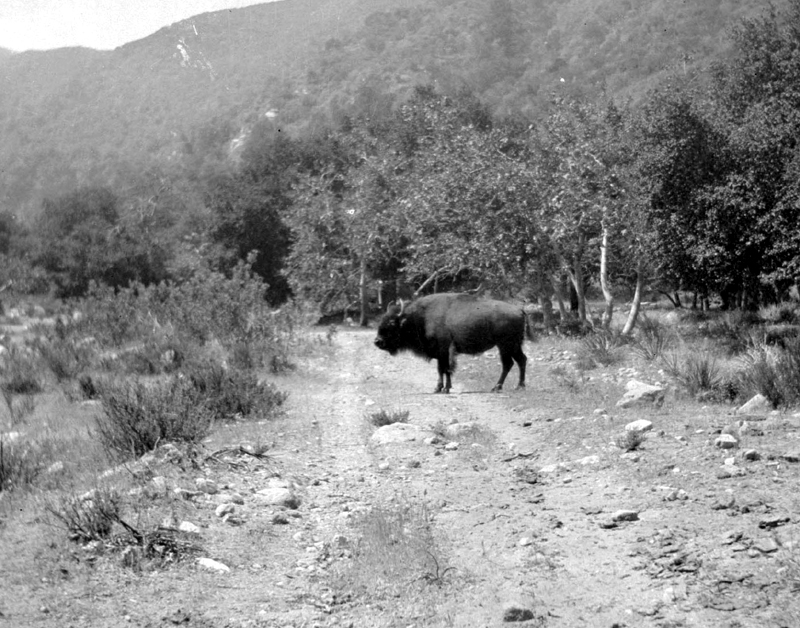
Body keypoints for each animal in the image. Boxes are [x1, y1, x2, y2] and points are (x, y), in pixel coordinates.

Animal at [374, 293, 530, 393]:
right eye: (381, 320)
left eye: (392, 323)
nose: (377, 341)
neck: (420, 318)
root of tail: (519, 310)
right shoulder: (439, 353)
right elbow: (440, 369)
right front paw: (438, 388)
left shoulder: (445, 350)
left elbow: (446, 369)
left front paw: (445, 388)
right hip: (514, 346)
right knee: (521, 360)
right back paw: (519, 386)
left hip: (505, 345)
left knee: (508, 364)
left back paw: (498, 387)